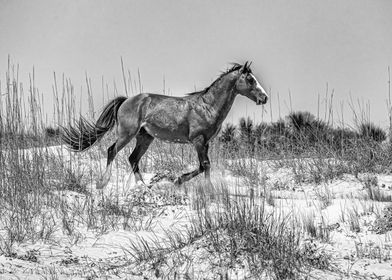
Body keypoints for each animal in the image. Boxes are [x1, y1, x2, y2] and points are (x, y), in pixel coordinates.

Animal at [61, 61, 268, 188]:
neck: (207, 106)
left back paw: (145, 187)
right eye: (250, 79)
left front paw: (184, 182)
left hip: (145, 138)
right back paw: (103, 182)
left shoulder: (206, 143)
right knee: (112, 151)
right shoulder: (198, 141)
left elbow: (205, 166)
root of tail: (127, 100)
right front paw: (186, 182)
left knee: (133, 159)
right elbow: (205, 165)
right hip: (127, 134)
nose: (264, 98)